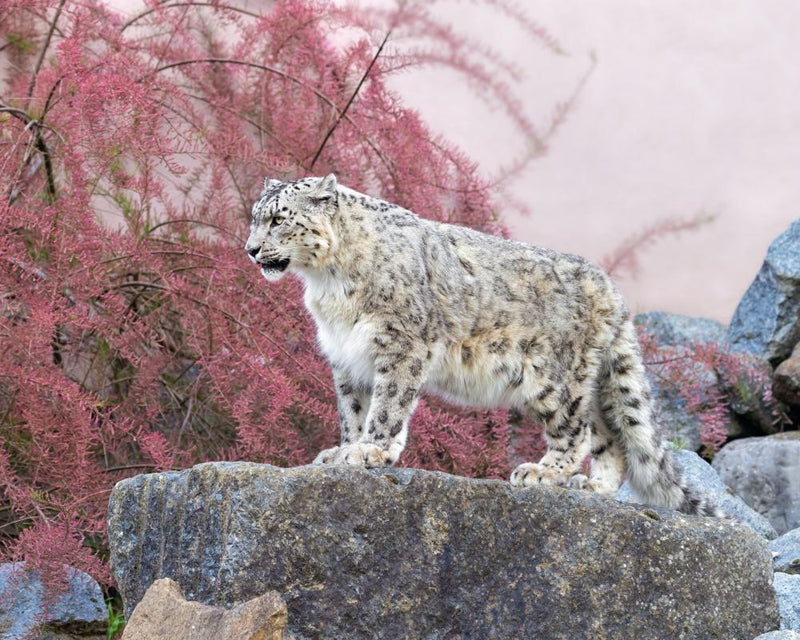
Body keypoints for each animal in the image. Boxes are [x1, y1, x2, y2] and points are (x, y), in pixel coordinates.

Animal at [245, 174, 722, 516]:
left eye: (278, 219)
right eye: (254, 216)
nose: (250, 249)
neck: (327, 284)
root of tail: (610, 288)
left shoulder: (401, 345)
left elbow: (388, 404)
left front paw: (371, 449)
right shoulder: (346, 358)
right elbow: (353, 409)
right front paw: (342, 448)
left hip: (556, 379)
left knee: (578, 431)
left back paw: (543, 472)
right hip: (592, 383)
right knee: (612, 437)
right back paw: (594, 486)